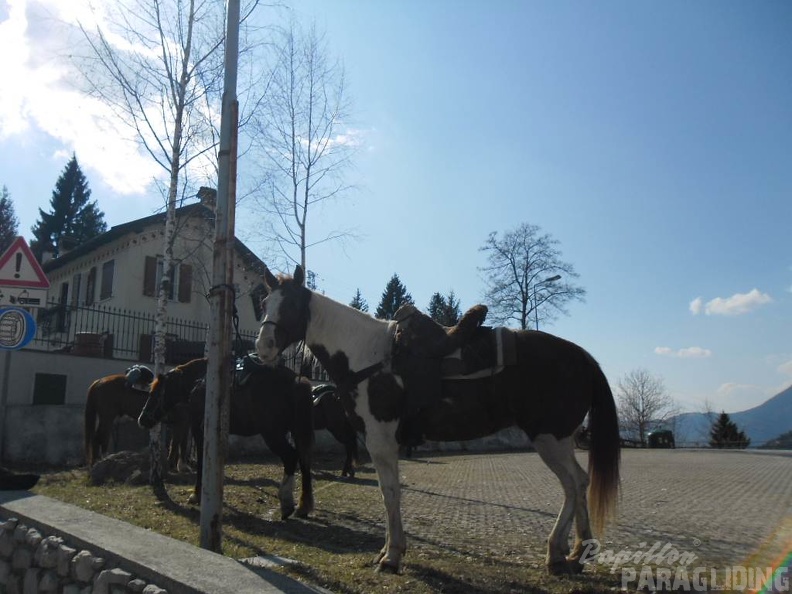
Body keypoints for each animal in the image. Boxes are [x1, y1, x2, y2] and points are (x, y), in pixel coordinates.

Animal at [138, 356, 314, 520]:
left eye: (155, 393)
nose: (142, 419)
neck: (199, 382)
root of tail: (297, 381)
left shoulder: (199, 429)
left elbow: (202, 461)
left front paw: (196, 495)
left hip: (273, 434)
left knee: (291, 457)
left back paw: (287, 504)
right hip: (297, 432)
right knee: (304, 461)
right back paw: (302, 507)